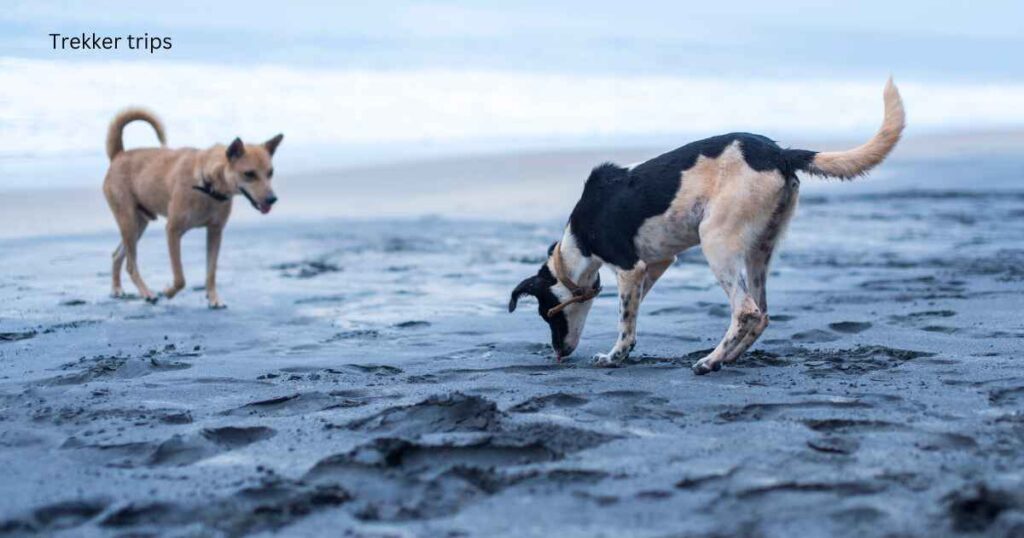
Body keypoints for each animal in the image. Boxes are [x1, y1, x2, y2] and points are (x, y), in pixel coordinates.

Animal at [101, 108, 282, 305]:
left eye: (270, 173)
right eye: (249, 174)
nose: (272, 199)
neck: (207, 185)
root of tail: (118, 155)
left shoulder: (215, 232)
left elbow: (211, 272)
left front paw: (213, 298)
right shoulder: (172, 231)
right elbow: (180, 278)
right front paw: (168, 292)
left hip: (139, 225)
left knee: (117, 255)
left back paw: (117, 289)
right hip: (129, 222)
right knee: (130, 265)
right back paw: (146, 293)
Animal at [505, 79, 905, 373]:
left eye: (545, 314)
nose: (557, 353)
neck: (576, 242)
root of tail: (780, 154)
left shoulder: (629, 267)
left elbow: (625, 320)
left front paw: (615, 356)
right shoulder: (655, 264)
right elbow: (631, 310)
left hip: (716, 240)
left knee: (745, 310)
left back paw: (711, 360)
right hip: (760, 248)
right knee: (760, 314)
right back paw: (727, 358)